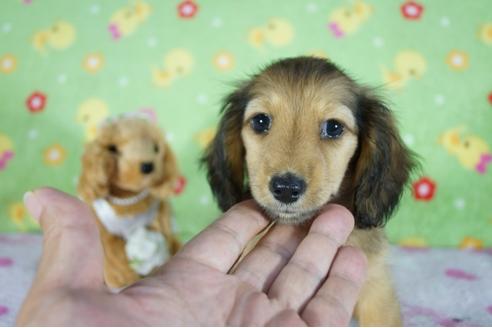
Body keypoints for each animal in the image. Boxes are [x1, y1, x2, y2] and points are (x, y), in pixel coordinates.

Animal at [79, 114, 183, 288]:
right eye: (113, 149)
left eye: (156, 148)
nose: (148, 166)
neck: (130, 201)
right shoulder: (107, 231)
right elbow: (114, 253)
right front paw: (125, 279)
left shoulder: (158, 215)